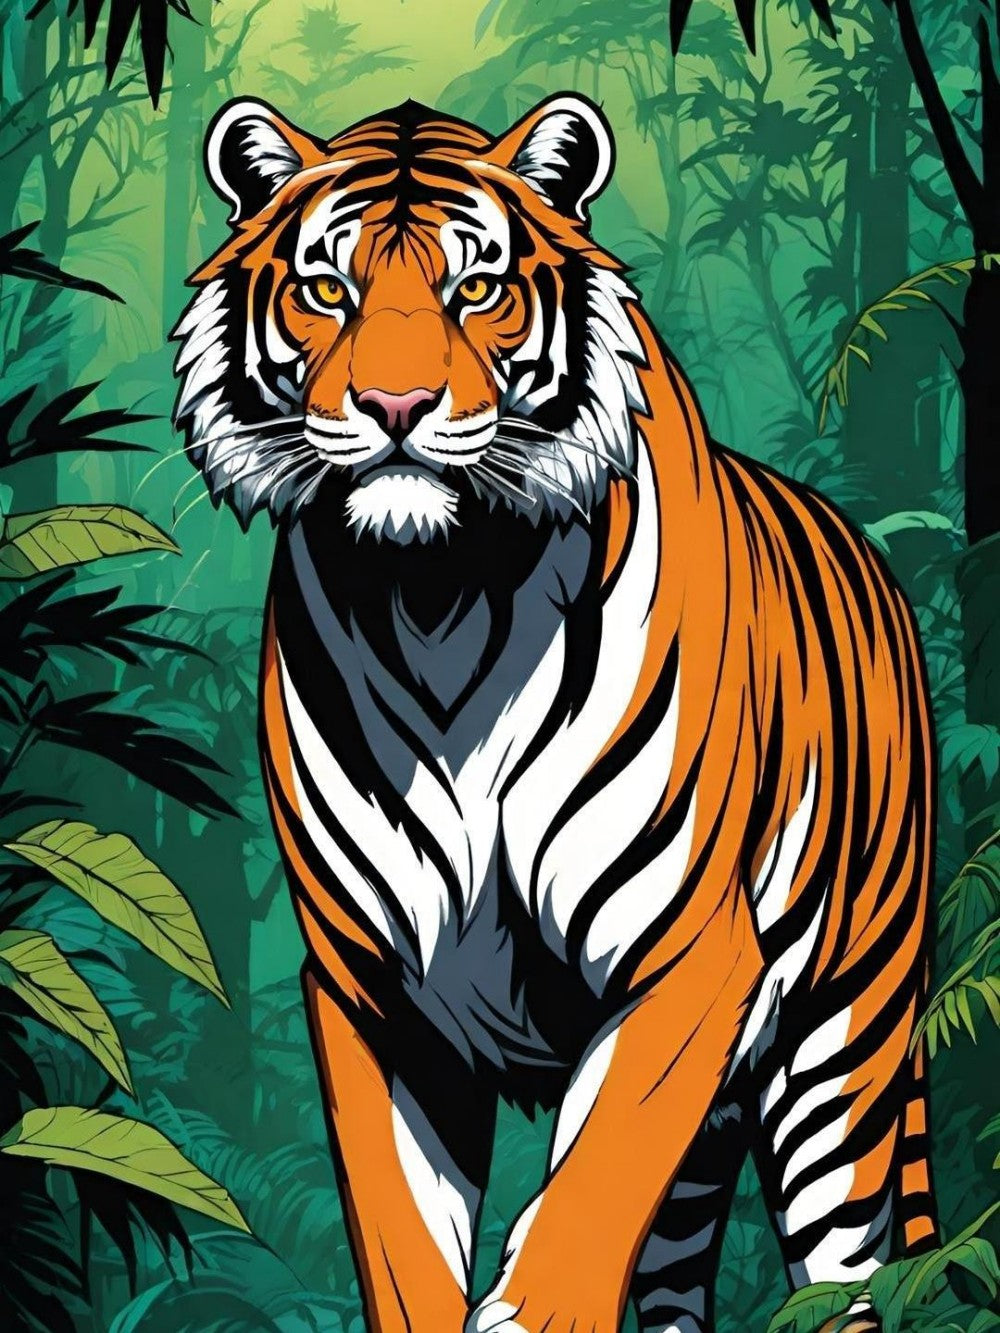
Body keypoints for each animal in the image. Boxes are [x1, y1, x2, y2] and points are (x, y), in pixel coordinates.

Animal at [173, 93, 938, 1333]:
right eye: (326, 288)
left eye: (475, 287)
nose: (394, 407)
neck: (436, 604)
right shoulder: (375, 991)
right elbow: (406, 1245)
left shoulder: (685, 958)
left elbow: (583, 1201)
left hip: (843, 1042)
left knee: (850, 1274)